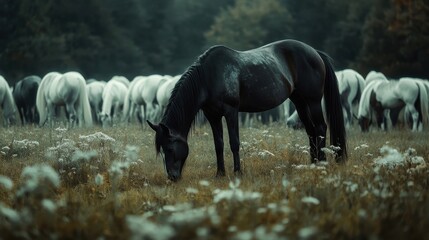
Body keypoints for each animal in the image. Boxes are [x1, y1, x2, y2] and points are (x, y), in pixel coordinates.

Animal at [147, 39, 344, 181]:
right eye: (162, 149)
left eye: (169, 148)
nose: (172, 177)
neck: (209, 77)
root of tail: (315, 53)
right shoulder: (213, 115)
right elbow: (218, 144)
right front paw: (220, 174)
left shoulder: (231, 111)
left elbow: (234, 143)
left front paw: (237, 172)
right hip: (300, 101)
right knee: (310, 130)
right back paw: (313, 163)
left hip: (313, 101)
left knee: (320, 128)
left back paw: (322, 162)